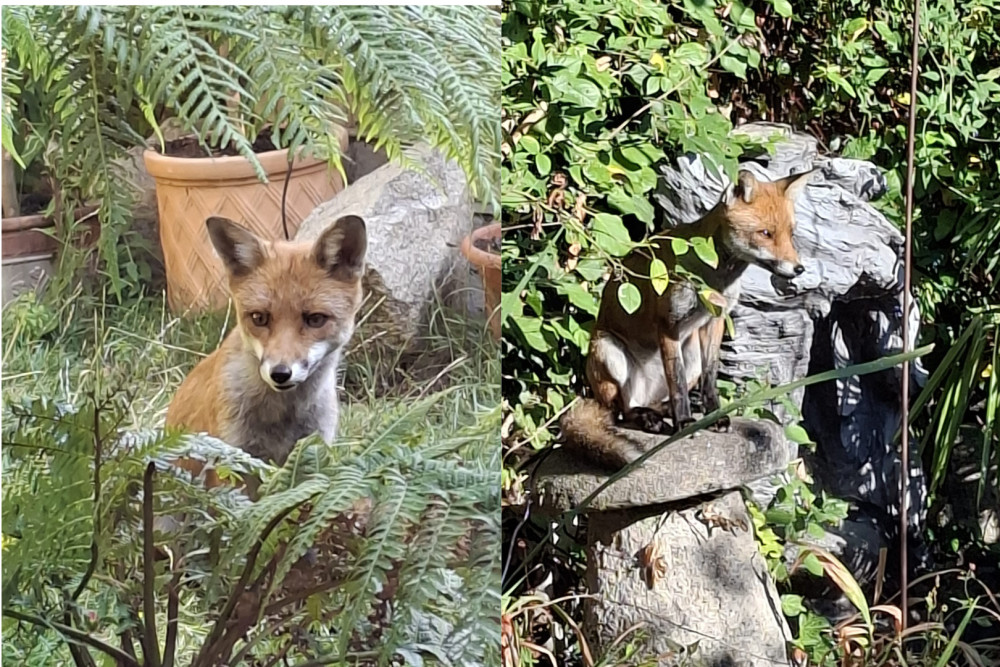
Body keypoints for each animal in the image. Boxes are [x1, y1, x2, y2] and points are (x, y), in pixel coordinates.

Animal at [165, 214, 367, 488]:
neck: (283, 418)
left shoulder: (312, 453)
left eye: (315, 319)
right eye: (259, 318)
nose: (280, 373)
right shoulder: (233, 461)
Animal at [560, 169, 812, 469]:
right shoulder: (669, 323)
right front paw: (683, 422)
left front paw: (713, 415)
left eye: (790, 234)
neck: (714, 277)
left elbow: (710, 378)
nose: (799, 269)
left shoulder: (715, 321)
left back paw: (664, 411)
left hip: (689, 352)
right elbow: (676, 381)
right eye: (765, 233)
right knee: (622, 411)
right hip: (609, 351)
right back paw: (648, 418)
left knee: (654, 401)